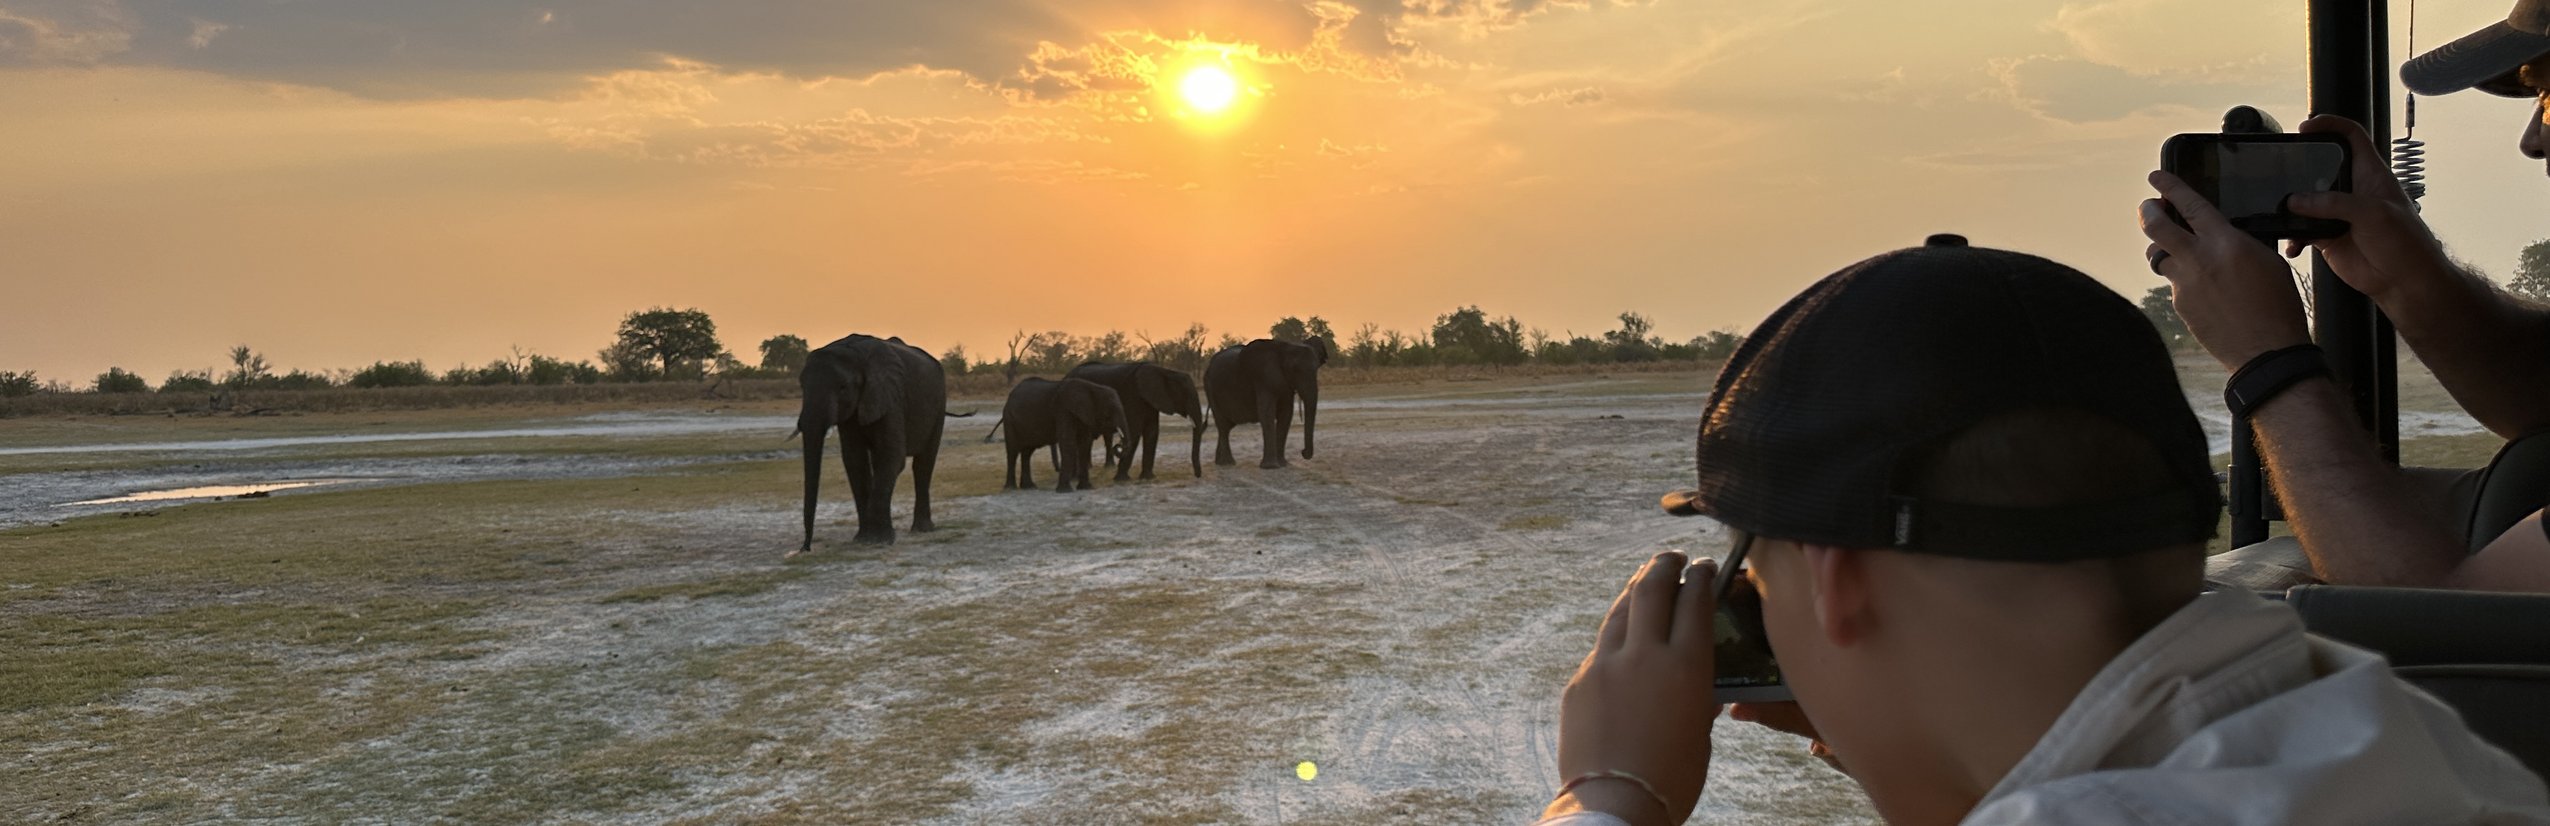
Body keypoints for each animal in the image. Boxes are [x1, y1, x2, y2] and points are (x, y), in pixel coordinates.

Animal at [790, 331, 953, 550]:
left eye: (843, 387)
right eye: (801, 386)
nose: (805, 548)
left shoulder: (890, 396)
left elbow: (892, 456)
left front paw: (878, 540)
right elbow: (855, 461)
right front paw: (863, 539)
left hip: (939, 404)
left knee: (923, 464)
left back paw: (922, 529)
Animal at [994, 379, 1127, 489]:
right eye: (1110, 410)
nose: (1119, 444)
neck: (1092, 387)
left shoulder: (1083, 415)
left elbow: (1084, 444)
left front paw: (1086, 488)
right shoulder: (1063, 411)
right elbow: (1068, 443)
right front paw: (1065, 490)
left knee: (1027, 452)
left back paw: (1029, 487)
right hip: (1009, 419)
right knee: (1013, 452)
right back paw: (1011, 488)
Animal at [1065, 362, 1203, 484]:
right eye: (1185, 394)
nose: (1197, 475)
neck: (1163, 371)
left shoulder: (1151, 400)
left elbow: (1152, 432)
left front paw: (1148, 478)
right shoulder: (1134, 396)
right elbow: (1135, 430)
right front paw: (1121, 480)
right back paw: (1074, 479)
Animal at [1198, 333, 1326, 463]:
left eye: (1316, 369)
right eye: (1295, 370)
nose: (1303, 452)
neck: (1285, 347)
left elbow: (1286, 414)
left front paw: (1283, 464)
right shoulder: (1263, 378)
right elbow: (1266, 413)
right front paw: (1271, 466)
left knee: (1227, 426)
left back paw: (1220, 463)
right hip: (1210, 388)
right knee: (1223, 425)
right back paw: (1228, 463)